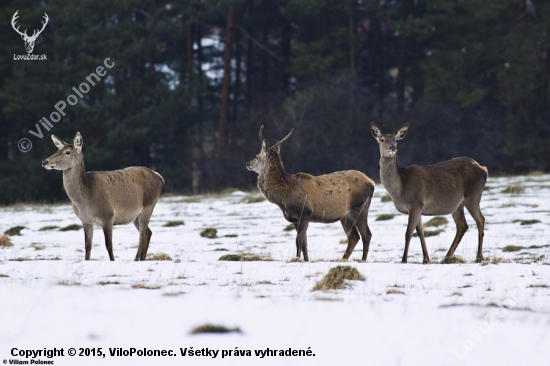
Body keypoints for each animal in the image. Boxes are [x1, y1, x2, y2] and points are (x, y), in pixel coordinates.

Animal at [42, 133, 165, 262]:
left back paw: (136, 260)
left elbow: (108, 244)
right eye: (57, 150)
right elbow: (88, 246)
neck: (84, 200)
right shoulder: (85, 220)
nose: (44, 161)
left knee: (141, 236)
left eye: (67, 152)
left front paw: (113, 260)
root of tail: (160, 177)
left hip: (148, 205)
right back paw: (141, 259)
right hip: (135, 215)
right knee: (148, 233)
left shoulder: (107, 216)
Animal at [248, 127, 378, 262]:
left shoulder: (304, 212)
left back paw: (362, 259)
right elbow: (304, 243)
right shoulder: (296, 218)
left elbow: (298, 241)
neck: (283, 195)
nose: (247, 164)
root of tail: (372, 183)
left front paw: (297, 258)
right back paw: (343, 259)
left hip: (359, 206)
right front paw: (306, 259)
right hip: (345, 215)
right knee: (354, 236)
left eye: (257, 156)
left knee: (366, 234)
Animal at [374, 123, 490, 264]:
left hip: (472, 196)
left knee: (480, 220)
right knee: (462, 225)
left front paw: (404, 260)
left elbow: (408, 233)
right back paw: (447, 257)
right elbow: (420, 233)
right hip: (457, 204)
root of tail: (484, 169)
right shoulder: (418, 207)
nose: (393, 147)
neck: (400, 189)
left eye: (396, 140)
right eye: (382, 139)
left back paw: (478, 257)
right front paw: (426, 259)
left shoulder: (415, 203)